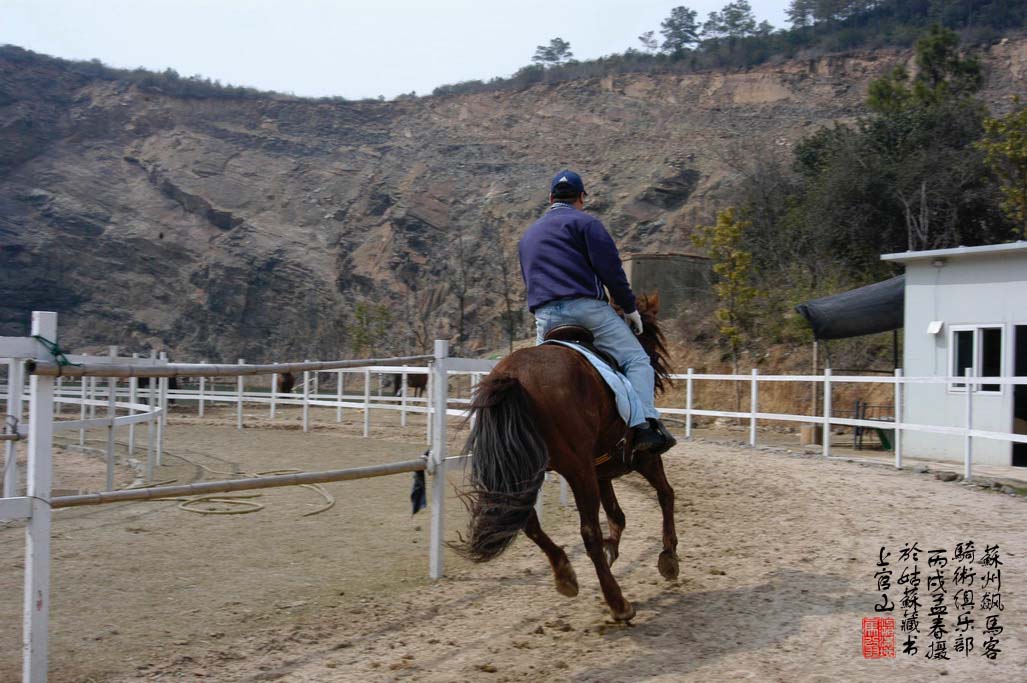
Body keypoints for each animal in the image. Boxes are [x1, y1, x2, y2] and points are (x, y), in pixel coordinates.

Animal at [453, 289, 677, 620]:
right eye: (649, 337)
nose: (657, 368)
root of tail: (513, 376)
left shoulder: (601, 469)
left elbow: (618, 515)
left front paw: (613, 550)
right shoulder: (643, 458)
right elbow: (665, 495)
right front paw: (669, 555)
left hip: (525, 473)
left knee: (529, 522)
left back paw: (565, 574)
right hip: (576, 470)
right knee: (588, 532)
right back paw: (618, 603)